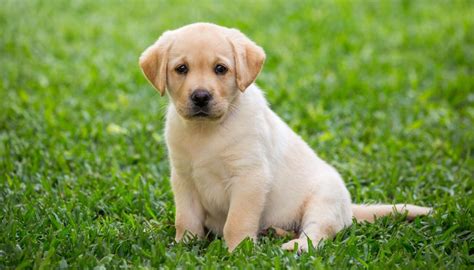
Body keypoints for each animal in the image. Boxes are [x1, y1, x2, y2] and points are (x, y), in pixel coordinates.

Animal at [139, 22, 432, 252]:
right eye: (181, 69)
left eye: (220, 69)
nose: (200, 96)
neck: (207, 131)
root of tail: (349, 209)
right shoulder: (184, 179)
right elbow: (186, 219)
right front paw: (183, 246)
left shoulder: (250, 177)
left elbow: (237, 221)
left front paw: (238, 251)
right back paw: (274, 232)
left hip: (323, 201)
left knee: (317, 233)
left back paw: (294, 246)